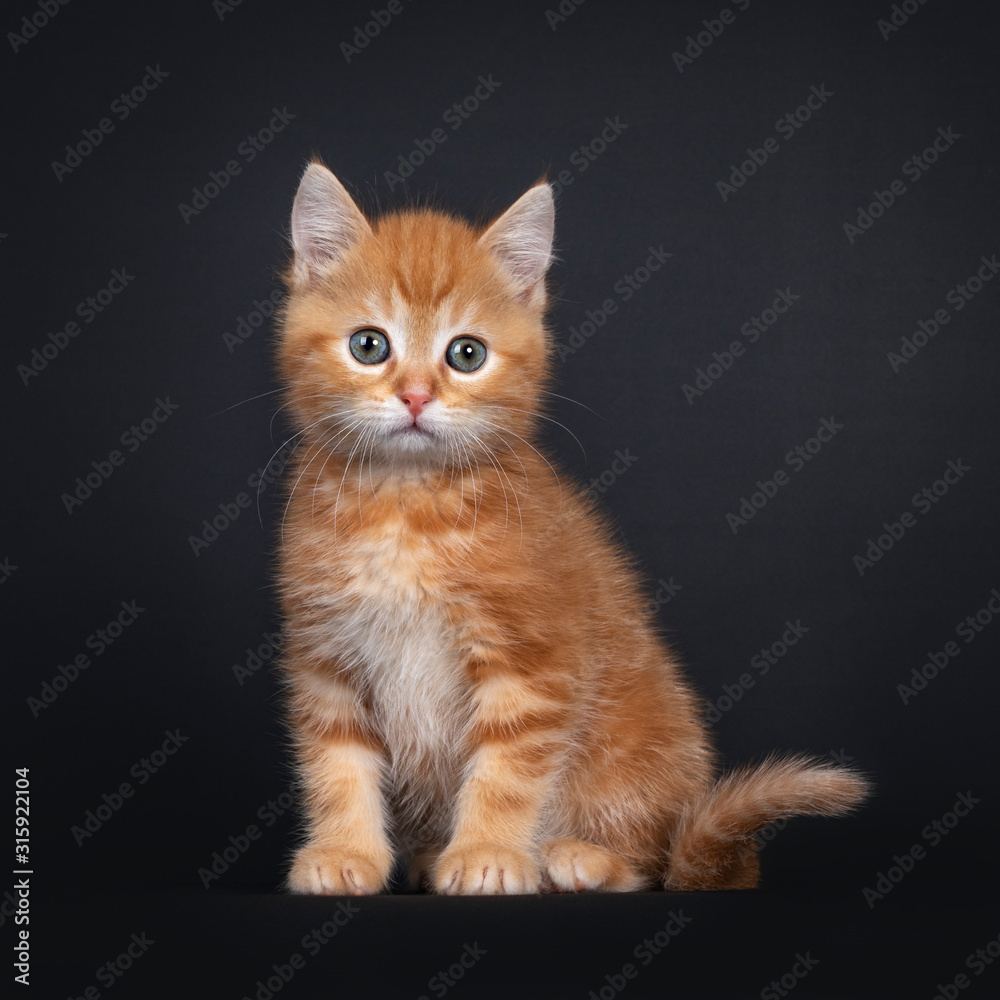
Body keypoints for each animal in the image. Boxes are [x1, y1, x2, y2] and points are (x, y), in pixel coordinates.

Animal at [274, 164, 868, 900]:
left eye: (466, 354)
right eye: (368, 345)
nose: (415, 396)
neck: (408, 509)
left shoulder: (535, 660)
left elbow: (507, 770)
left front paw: (488, 854)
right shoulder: (325, 657)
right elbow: (336, 764)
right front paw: (345, 852)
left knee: (652, 861)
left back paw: (580, 857)